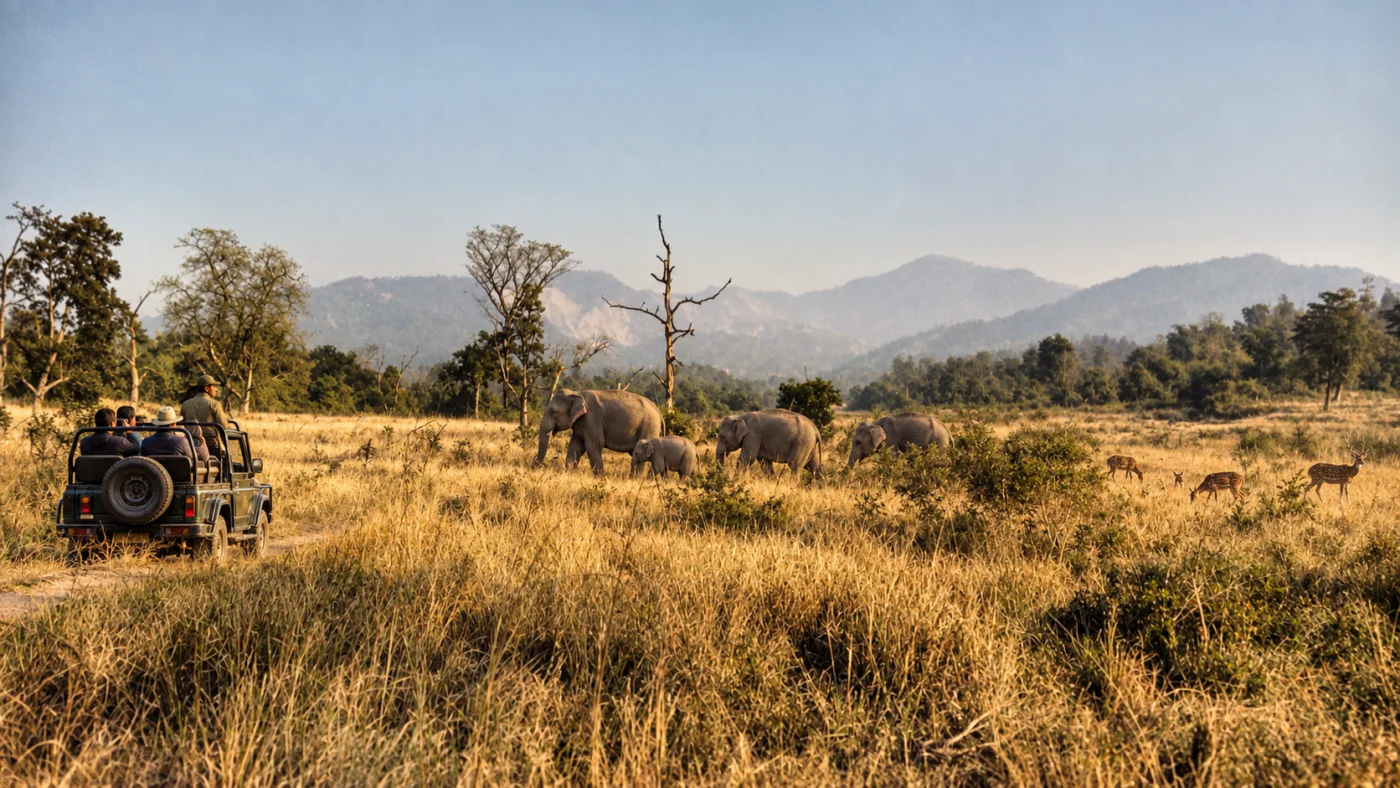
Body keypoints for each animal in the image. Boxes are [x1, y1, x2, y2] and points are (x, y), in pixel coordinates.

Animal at [535, 388, 663, 476]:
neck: (577, 393)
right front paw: (569, 473)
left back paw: (636, 479)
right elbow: (575, 447)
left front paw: (599, 478)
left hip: (649, 426)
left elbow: (593, 446)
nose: (537, 467)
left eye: (553, 411)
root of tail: (658, 410)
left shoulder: (592, 419)